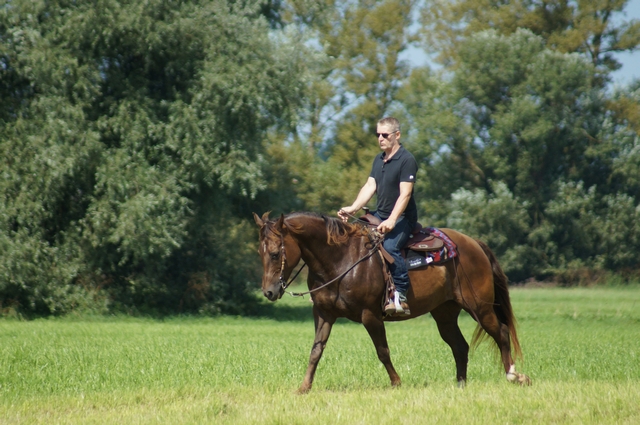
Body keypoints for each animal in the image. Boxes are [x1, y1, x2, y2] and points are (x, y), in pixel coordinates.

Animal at [254, 210, 528, 392]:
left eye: (276, 253)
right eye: (260, 252)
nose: (269, 292)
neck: (341, 259)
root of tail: (474, 244)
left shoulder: (370, 315)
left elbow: (382, 351)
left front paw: (396, 382)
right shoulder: (323, 314)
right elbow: (316, 351)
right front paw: (304, 387)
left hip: (479, 307)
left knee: (501, 333)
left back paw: (513, 376)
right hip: (445, 314)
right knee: (460, 346)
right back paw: (460, 385)